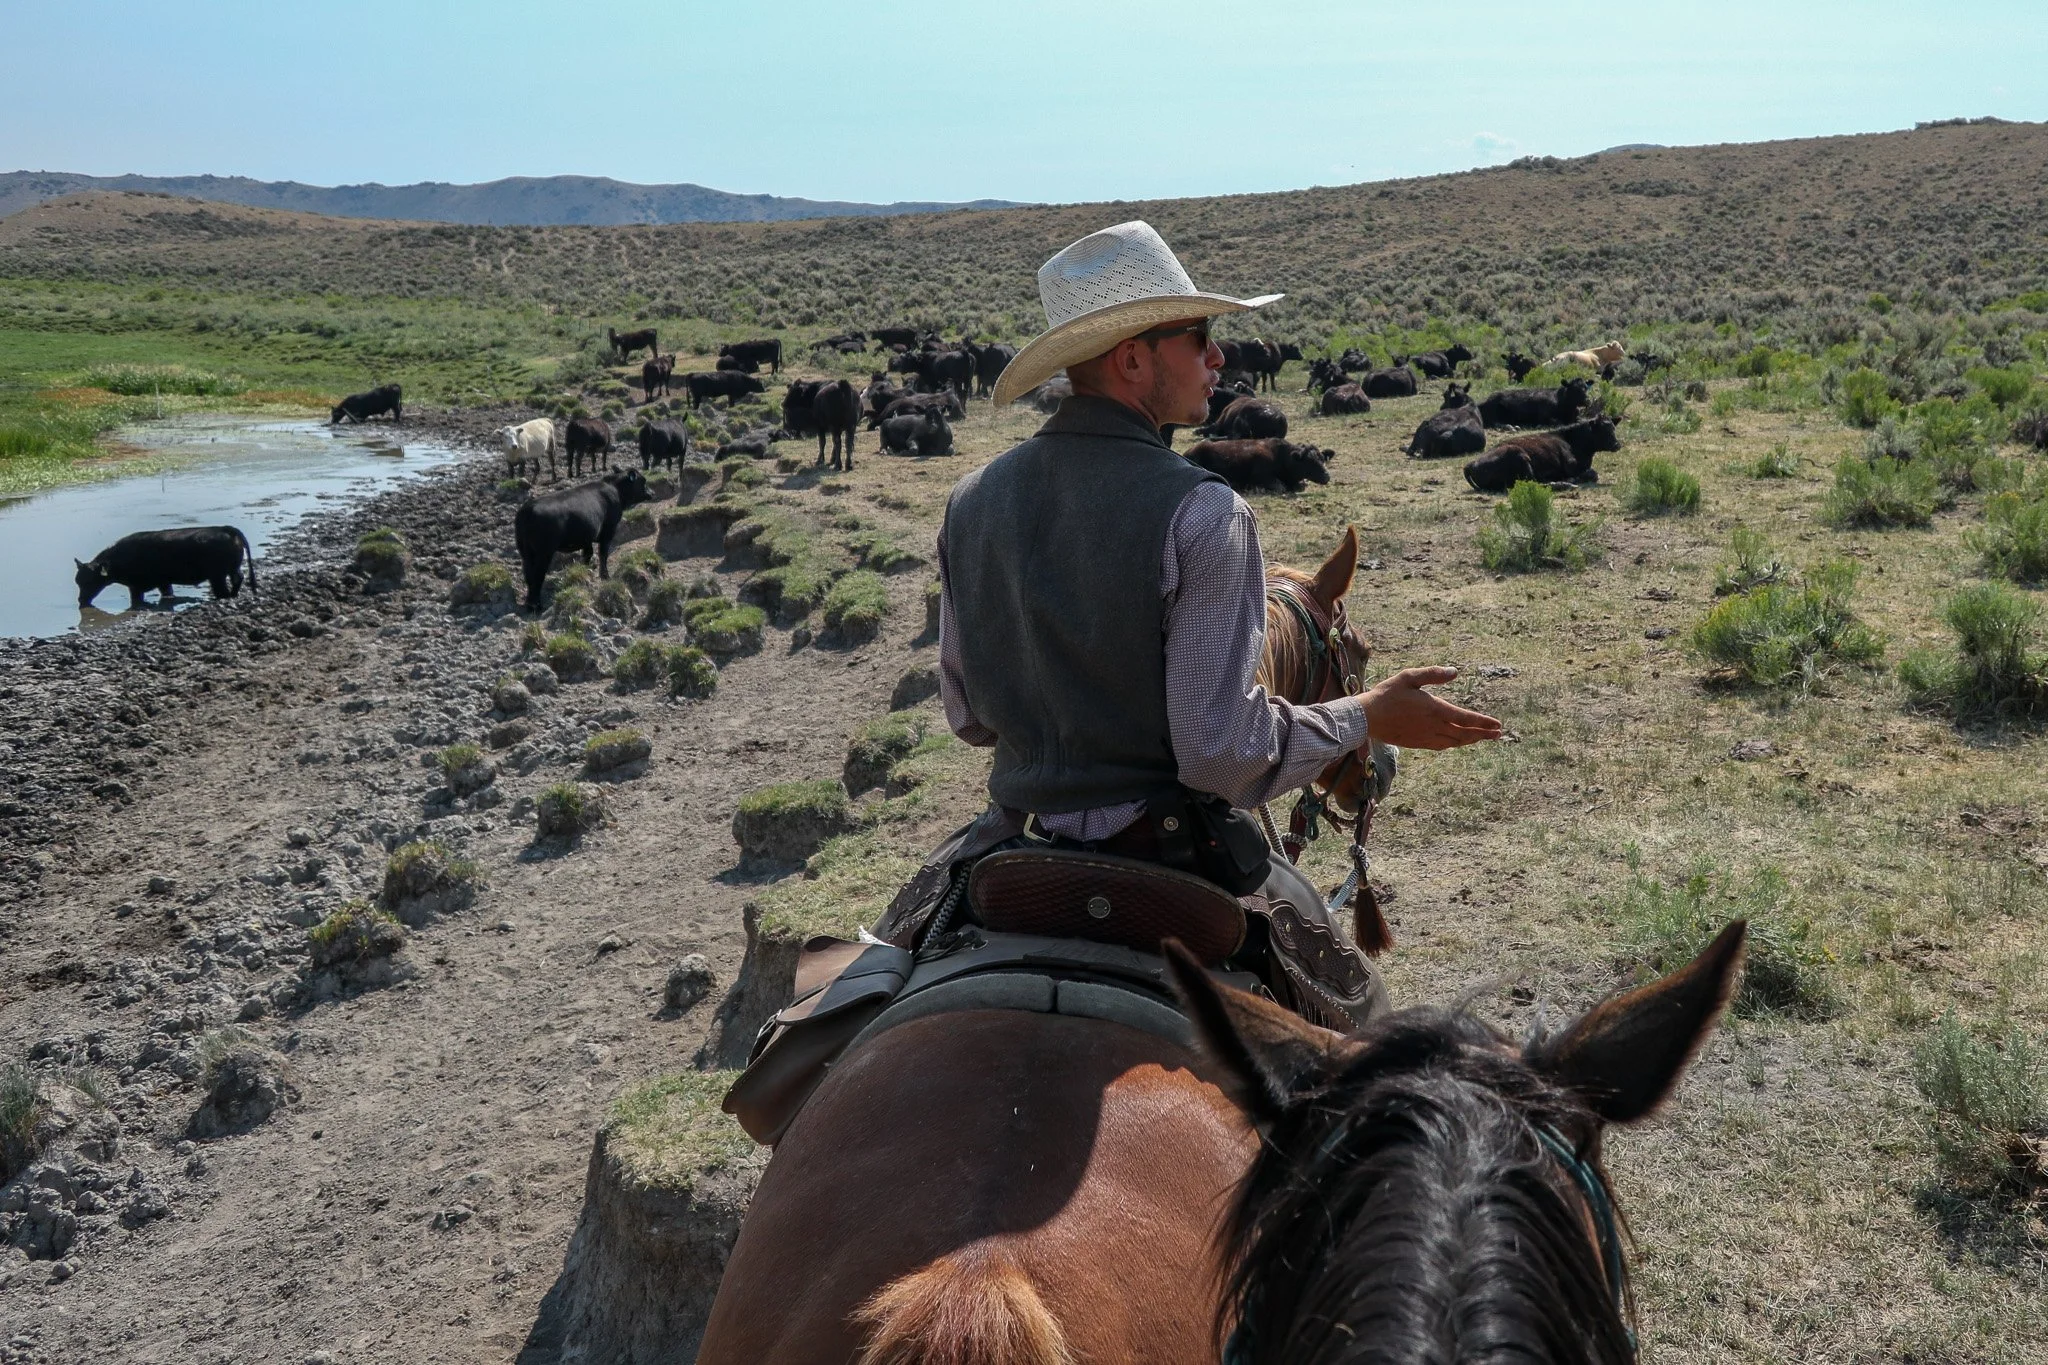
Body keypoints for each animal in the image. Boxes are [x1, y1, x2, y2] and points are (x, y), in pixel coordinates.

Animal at [76, 526, 256, 610]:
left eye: (89, 581)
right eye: (78, 581)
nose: (80, 599)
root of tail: (225, 528)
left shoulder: (138, 586)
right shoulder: (162, 583)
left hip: (217, 576)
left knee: (223, 590)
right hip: (232, 569)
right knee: (238, 578)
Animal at [512, 469, 651, 612]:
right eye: (643, 481)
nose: (652, 493)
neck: (614, 488)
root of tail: (527, 510)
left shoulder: (587, 537)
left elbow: (588, 554)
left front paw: (585, 571)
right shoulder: (608, 531)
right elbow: (603, 554)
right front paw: (605, 576)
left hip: (526, 552)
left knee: (528, 575)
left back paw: (530, 604)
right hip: (544, 553)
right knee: (537, 575)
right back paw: (537, 605)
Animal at [1462, 417, 1621, 493]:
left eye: (1613, 427)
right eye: (1602, 429)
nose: (1617, 444)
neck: (1569, 439)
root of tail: (1470, 464)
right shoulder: (1570, 466)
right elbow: (1591, 474)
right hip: (1521, 456)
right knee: (1534, 483)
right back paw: (1564, 484)